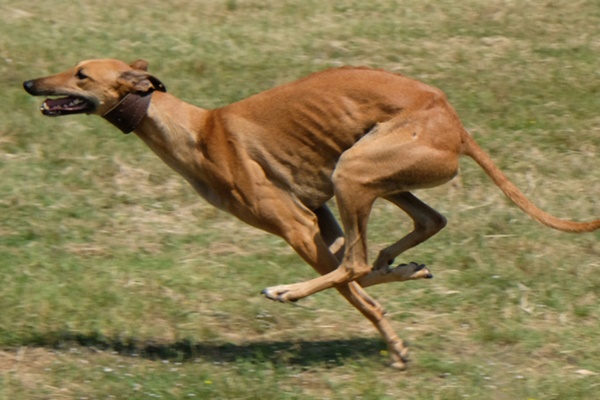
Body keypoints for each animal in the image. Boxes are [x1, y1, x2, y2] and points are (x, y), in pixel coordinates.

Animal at [23, 59, 600, 368]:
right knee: (418, 227)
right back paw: (402, 264)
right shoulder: (320, 215)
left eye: (80, 74)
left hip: (355, 172)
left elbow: (354, 286)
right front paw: (403, 281)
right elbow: (356, 268)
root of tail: (454, 122)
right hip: (369, 177)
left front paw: (394, 343)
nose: (30, 84)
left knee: (357, 263)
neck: (197, 129)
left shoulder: (297, 227)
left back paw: (289, 291)